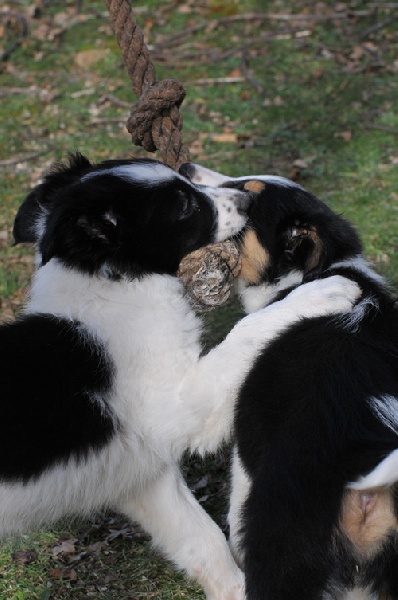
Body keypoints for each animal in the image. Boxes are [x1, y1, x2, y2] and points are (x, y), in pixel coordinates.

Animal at [0, 155, 360, 600]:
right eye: (186, 206)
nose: (244, 200)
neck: (111, 288)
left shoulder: (143, 475)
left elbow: (203, 540)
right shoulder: (175, 407)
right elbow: (245, 332)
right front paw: (324, 291)